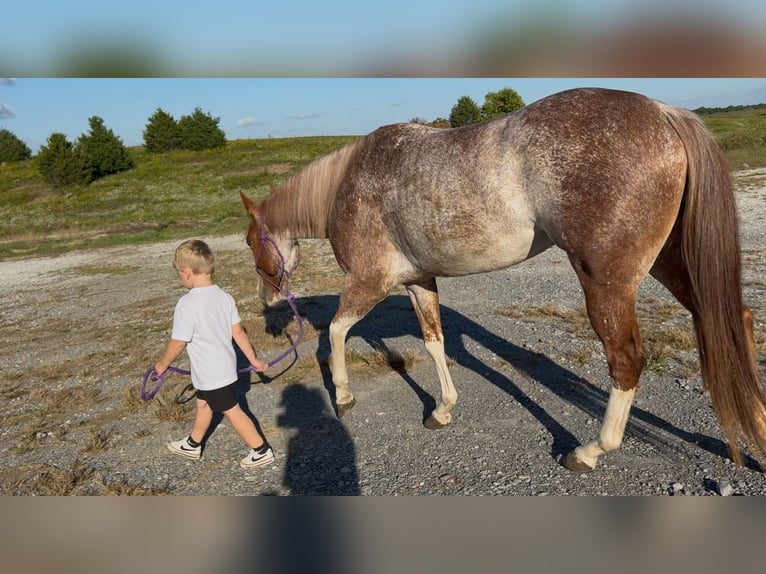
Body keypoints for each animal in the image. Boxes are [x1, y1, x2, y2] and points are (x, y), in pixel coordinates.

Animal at [240, 87, 766, 472]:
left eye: (250, 243)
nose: (268, 306)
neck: (348, 183)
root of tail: (664, 112)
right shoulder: (419, 281)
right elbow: (434, 342)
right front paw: (443, 409)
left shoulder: (369, 281)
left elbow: (335, 331)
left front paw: (344, 397)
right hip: (671, 262)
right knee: (732, 320)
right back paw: (758, 428)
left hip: (608, 283)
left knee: (627, 360)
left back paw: (589, 452)